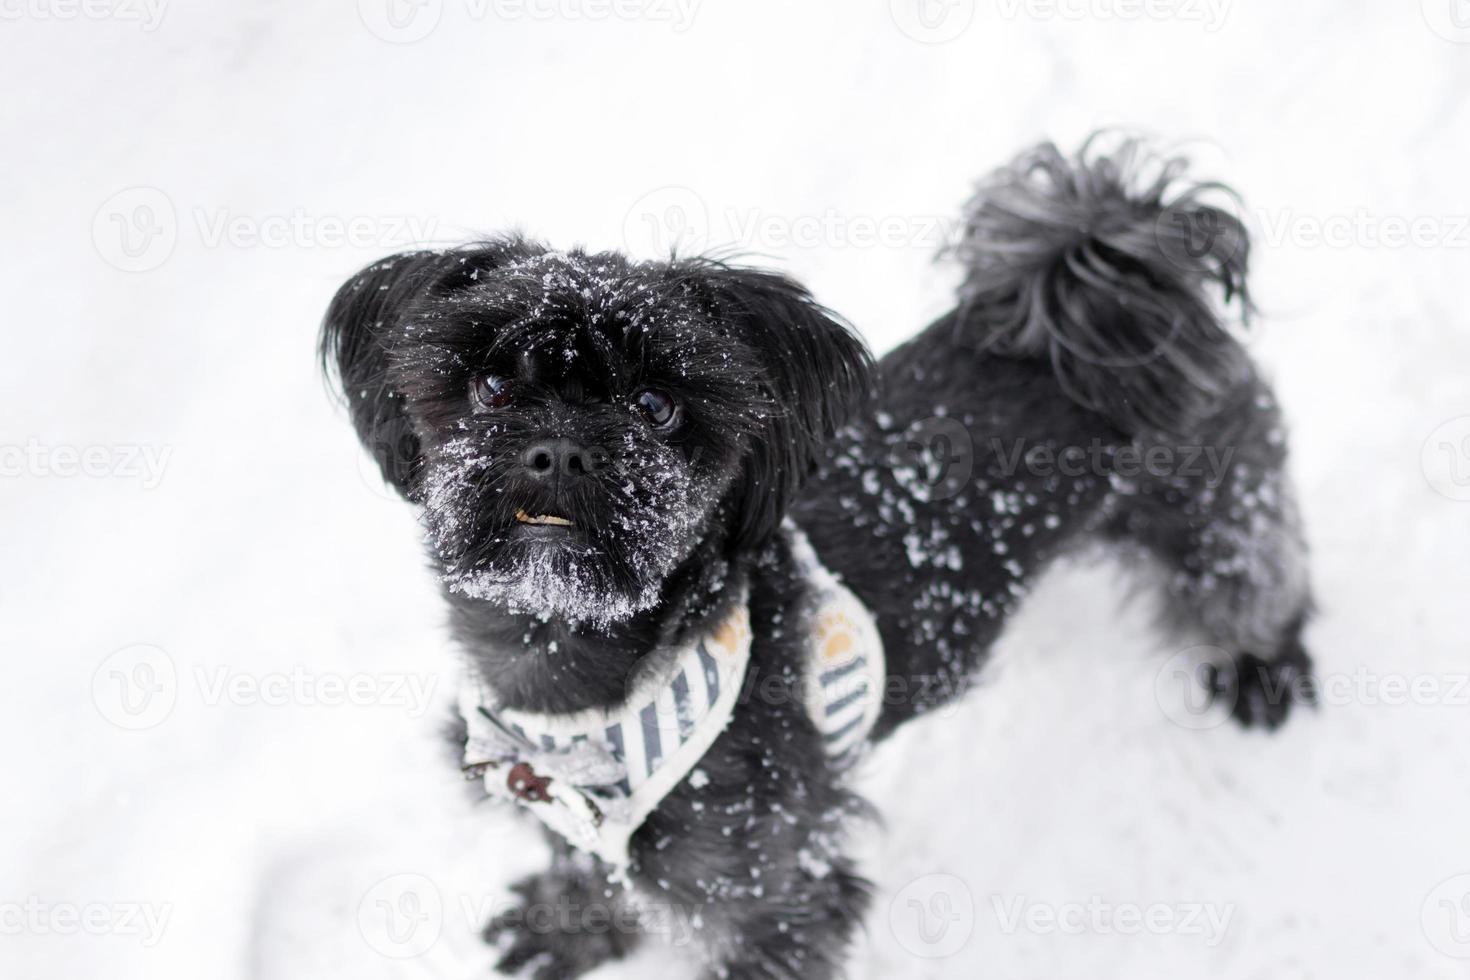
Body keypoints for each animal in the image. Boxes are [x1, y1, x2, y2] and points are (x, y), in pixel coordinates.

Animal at [318, 138, 1311, 980]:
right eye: (489, 383)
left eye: (657, 406)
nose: (560, 448)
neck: (571, 678)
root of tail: (1111, 265)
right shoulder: (564, 808)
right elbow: (587, 866)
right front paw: (568, 927)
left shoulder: (773, 894)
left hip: (1213, 510)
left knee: (1258, 576)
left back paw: (1265, 667)